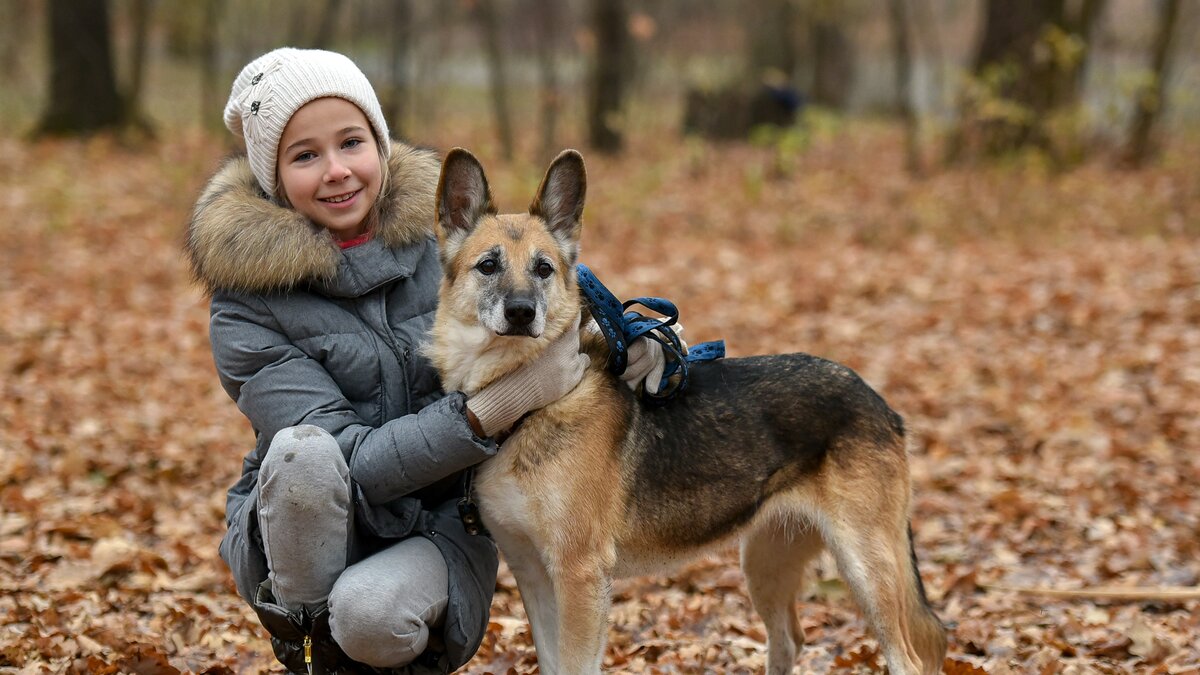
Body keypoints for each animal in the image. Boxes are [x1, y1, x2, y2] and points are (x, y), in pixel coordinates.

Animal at [429, 148, 945, 672]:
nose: (521, 313)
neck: (531, 403)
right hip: (765, 561)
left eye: (544, 269)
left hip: (865, 565)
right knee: (789, 640)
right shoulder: (533, 575)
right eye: (488, 265)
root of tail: (878, 399)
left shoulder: (579, 576)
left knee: (906, 659)